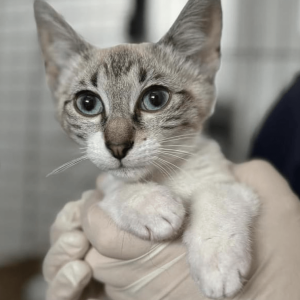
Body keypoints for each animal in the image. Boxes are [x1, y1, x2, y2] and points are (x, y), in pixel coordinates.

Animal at [34, 0, 258, 298]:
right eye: (87, 103)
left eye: (155, 99)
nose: (117, 146)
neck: (164, 176)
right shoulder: (100, 191)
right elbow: (112, 187)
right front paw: (151, 204)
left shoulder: (231, 182)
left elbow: (218, 195)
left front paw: (218, 263)